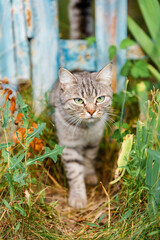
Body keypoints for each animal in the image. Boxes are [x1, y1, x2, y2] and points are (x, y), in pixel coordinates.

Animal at [51, 64, 112, 209]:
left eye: (100, 98)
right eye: (78, 100)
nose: (91, 111)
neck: (85, 129)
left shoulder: (94, 142)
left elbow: (89, 159)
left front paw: (89, 174)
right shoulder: (69, 147)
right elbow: (75, 172)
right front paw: (78, 196)